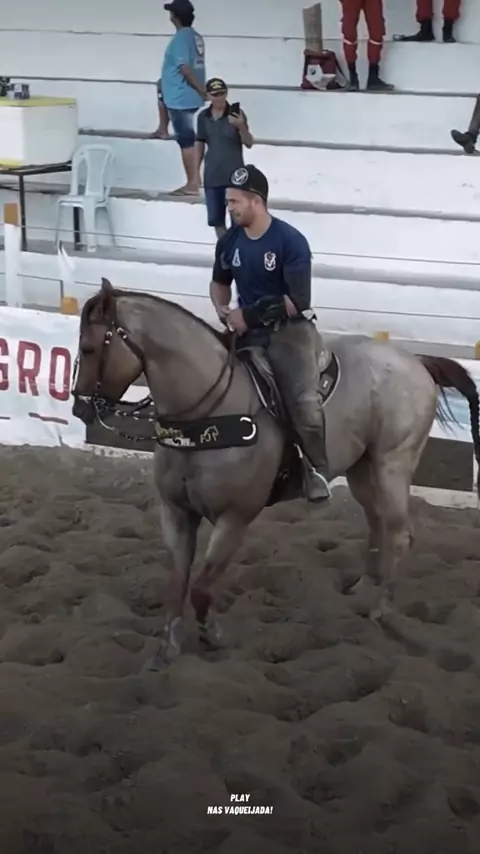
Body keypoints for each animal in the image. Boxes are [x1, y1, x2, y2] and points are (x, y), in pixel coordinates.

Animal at [71, 278, 480, 670]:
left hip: (392, 463)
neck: (209, 415)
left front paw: (213, 635)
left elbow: (202, 587)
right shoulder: (175, 513)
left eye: (89, 348)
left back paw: (381, 609)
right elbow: (178, 583)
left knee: (399, 533)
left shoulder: (235, 518)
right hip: (363, 469)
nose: (79, 408)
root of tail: (417, 361)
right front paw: (166, 650)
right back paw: (364, 585)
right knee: (376, 521)